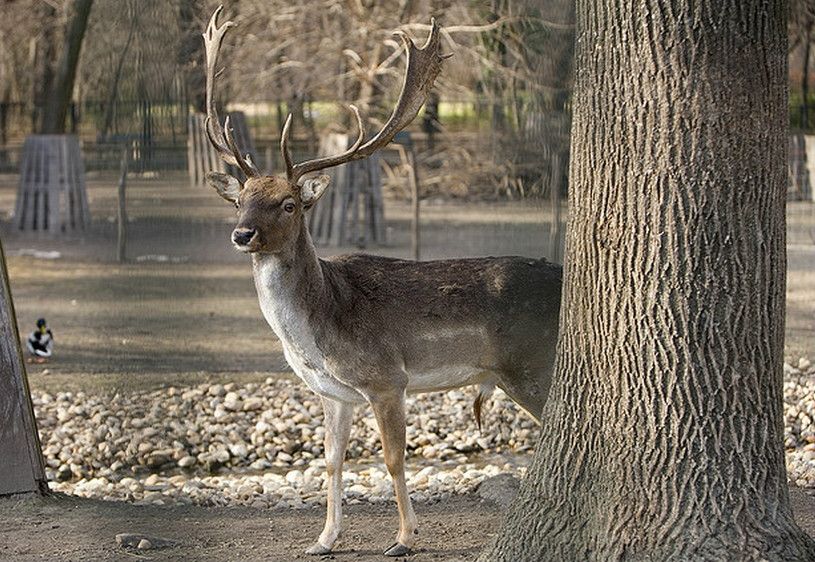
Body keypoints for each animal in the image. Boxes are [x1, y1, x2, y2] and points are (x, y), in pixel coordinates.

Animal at [202, 6, 564, 552]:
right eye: (240, 198)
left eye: (288, 203)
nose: (242, 234)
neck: (317, 329)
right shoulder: (332, 392)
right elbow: (331, 462)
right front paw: (323, 540)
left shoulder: (387, 379)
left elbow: (393, 459)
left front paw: (405, 538)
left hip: (531, 364)